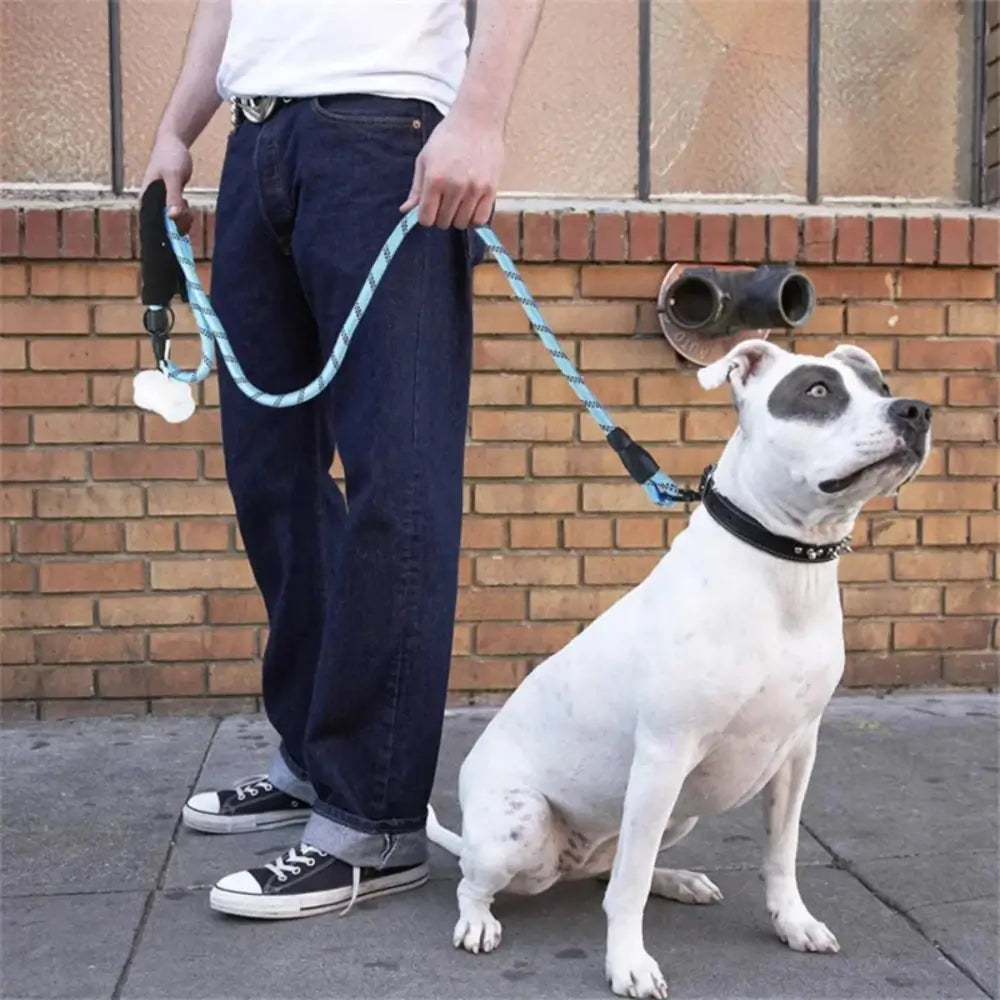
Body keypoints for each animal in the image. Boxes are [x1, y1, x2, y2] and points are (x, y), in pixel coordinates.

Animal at [426, 340, 932, 996]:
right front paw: (628, 963)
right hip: (521, 827)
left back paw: (678, 881)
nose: (916, 410)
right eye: (818, 390)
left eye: (881, 385)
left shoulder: (798, 753)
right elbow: (629, 888)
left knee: (610, 869)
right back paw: (477, 922)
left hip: (676, 816)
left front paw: (793, 922)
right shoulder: (664, 756)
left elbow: (781, 851)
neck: (783, 568)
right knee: (484, 880)